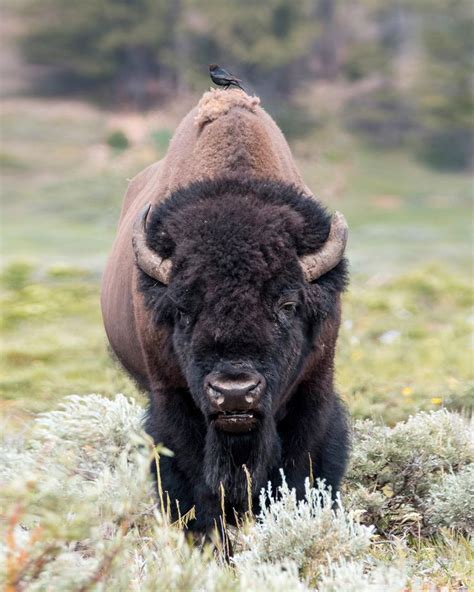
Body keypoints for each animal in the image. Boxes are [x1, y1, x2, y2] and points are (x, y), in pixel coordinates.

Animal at [101, 89, 348, 536]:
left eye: (287, 305)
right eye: (183, 309)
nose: (235, 392)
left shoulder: (313, 388)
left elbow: (300, 473)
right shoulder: (173, 400)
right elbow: (194, 488)